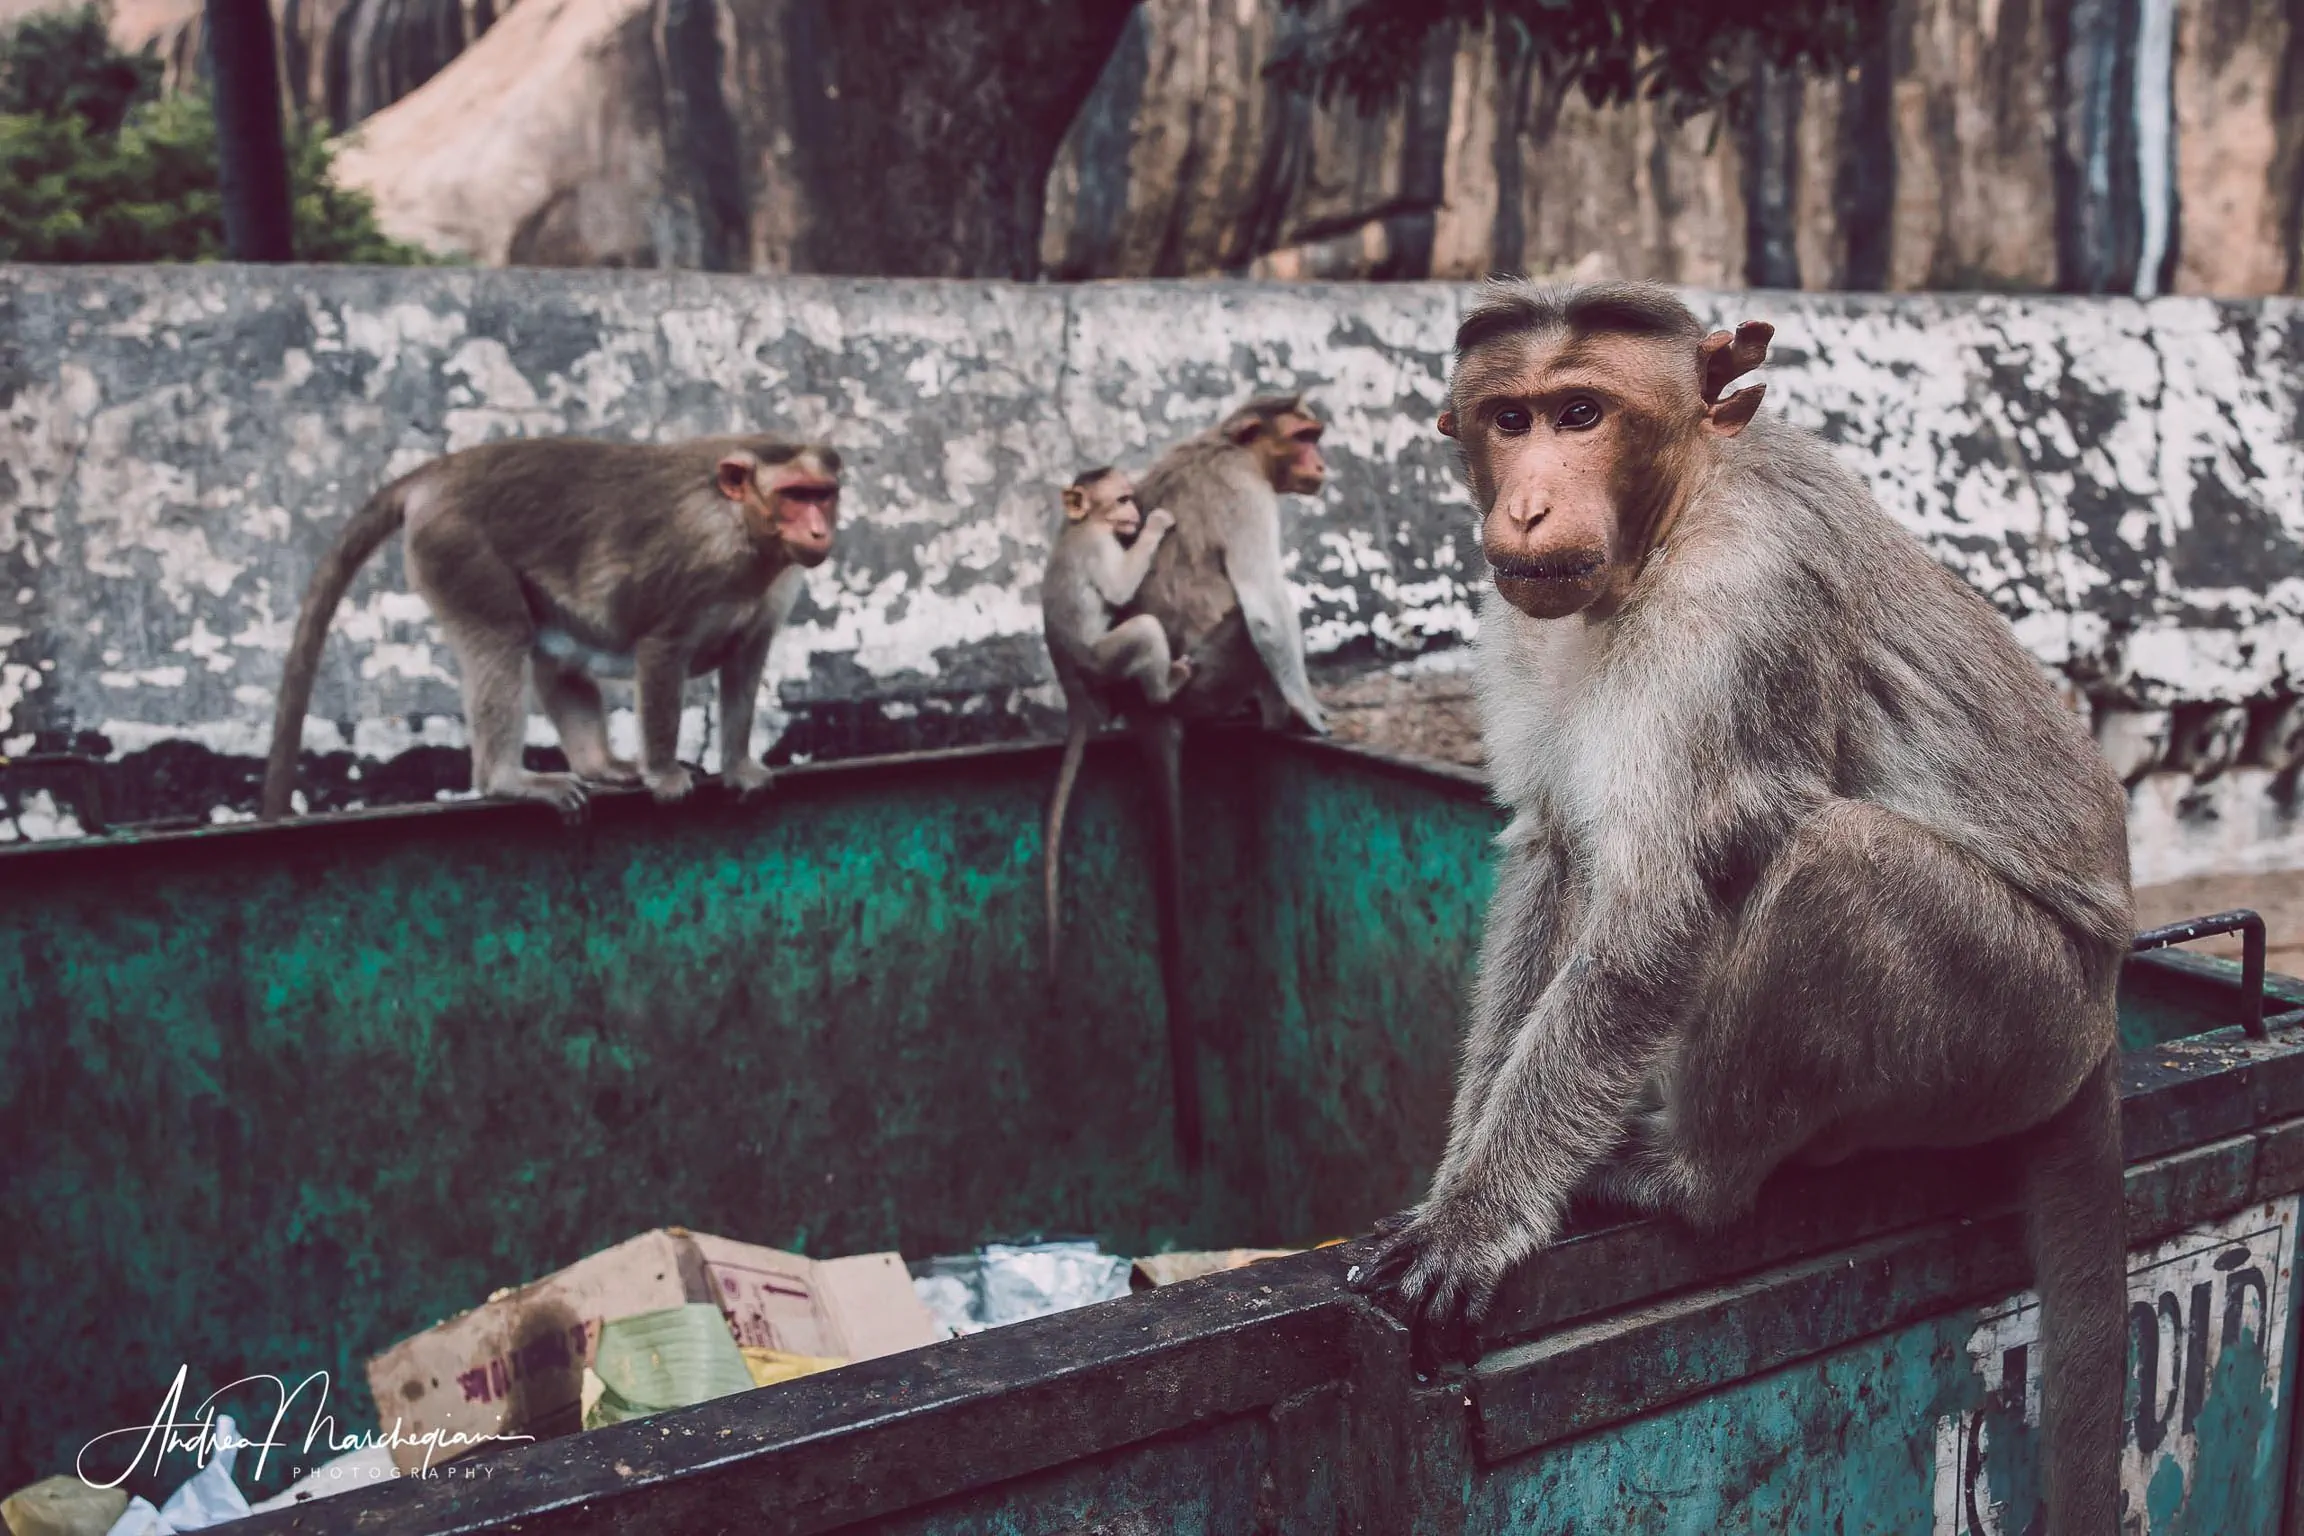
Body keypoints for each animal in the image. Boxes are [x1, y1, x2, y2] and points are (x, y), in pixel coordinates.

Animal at [1041, 465, 1188, 971]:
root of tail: (1073, 693)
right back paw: (1165, 688)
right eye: (1123, 499)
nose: (1135, 516)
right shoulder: (1100, 547)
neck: (1085, 523)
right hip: (1103, 661)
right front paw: (1158, 525)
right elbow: (1121, 587)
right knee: (1143, 628)